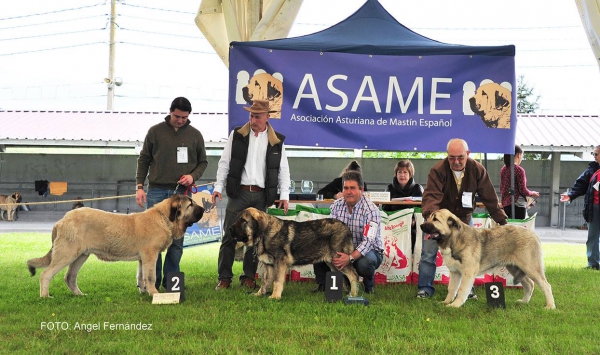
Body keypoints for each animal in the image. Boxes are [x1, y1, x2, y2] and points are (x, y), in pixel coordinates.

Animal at [27, 195, 204, 298]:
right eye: (190, 204)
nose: (203, 208)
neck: (164, 218)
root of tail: (62, 220)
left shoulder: (143, 259)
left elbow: (141, 276)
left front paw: (144, 291)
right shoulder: (150, 255)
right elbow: (150, 276)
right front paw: (154, 293)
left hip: (80, 255)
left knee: (69, 277)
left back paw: (80, 295)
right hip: (67, 252)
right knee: (46, 274)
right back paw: (45, 296)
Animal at [420, 210, 556, 310]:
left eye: (435, 219)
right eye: (429, 218)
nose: (421, 225)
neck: (454, 239)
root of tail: (533, 234)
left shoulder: (468, 273)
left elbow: (462, 289)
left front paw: (455, 305)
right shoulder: (455, 272)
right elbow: (452, 289)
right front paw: (446, 302)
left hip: (530, 267)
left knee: (546, 285)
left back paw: (550, 306)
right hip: (516, 268)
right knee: (529, 284)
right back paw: (524, 302)